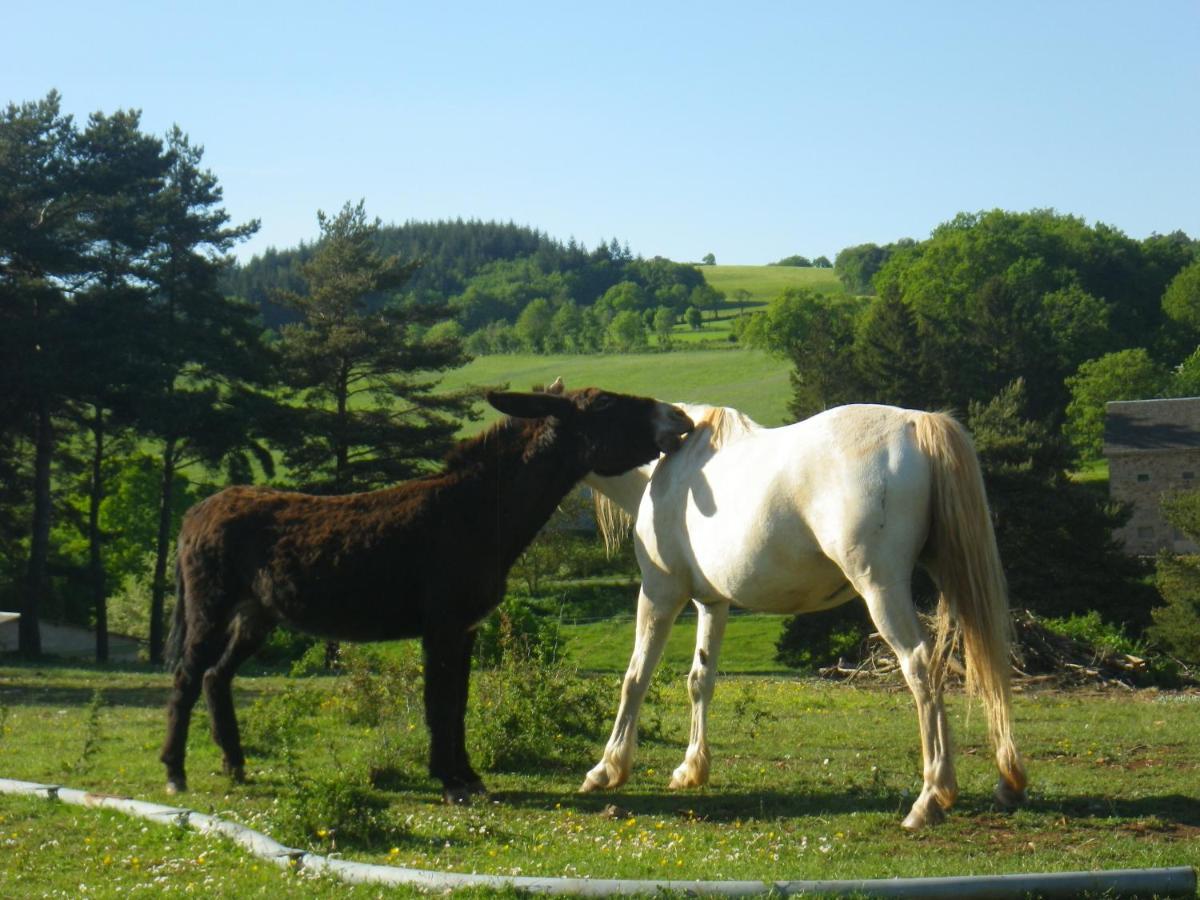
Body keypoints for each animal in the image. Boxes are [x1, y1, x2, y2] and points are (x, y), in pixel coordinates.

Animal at [580, 400, 1022, 830]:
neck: (672, 464)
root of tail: (917, 423)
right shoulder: (712, 603)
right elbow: (700, 680)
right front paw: (691, 769)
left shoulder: (660, 593)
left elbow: (636, 677)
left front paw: (608, 768)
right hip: (954, 574)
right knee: (985, 656)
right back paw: (1008, 782)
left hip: (881, 588)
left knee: (921, 666)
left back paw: (930, 798)